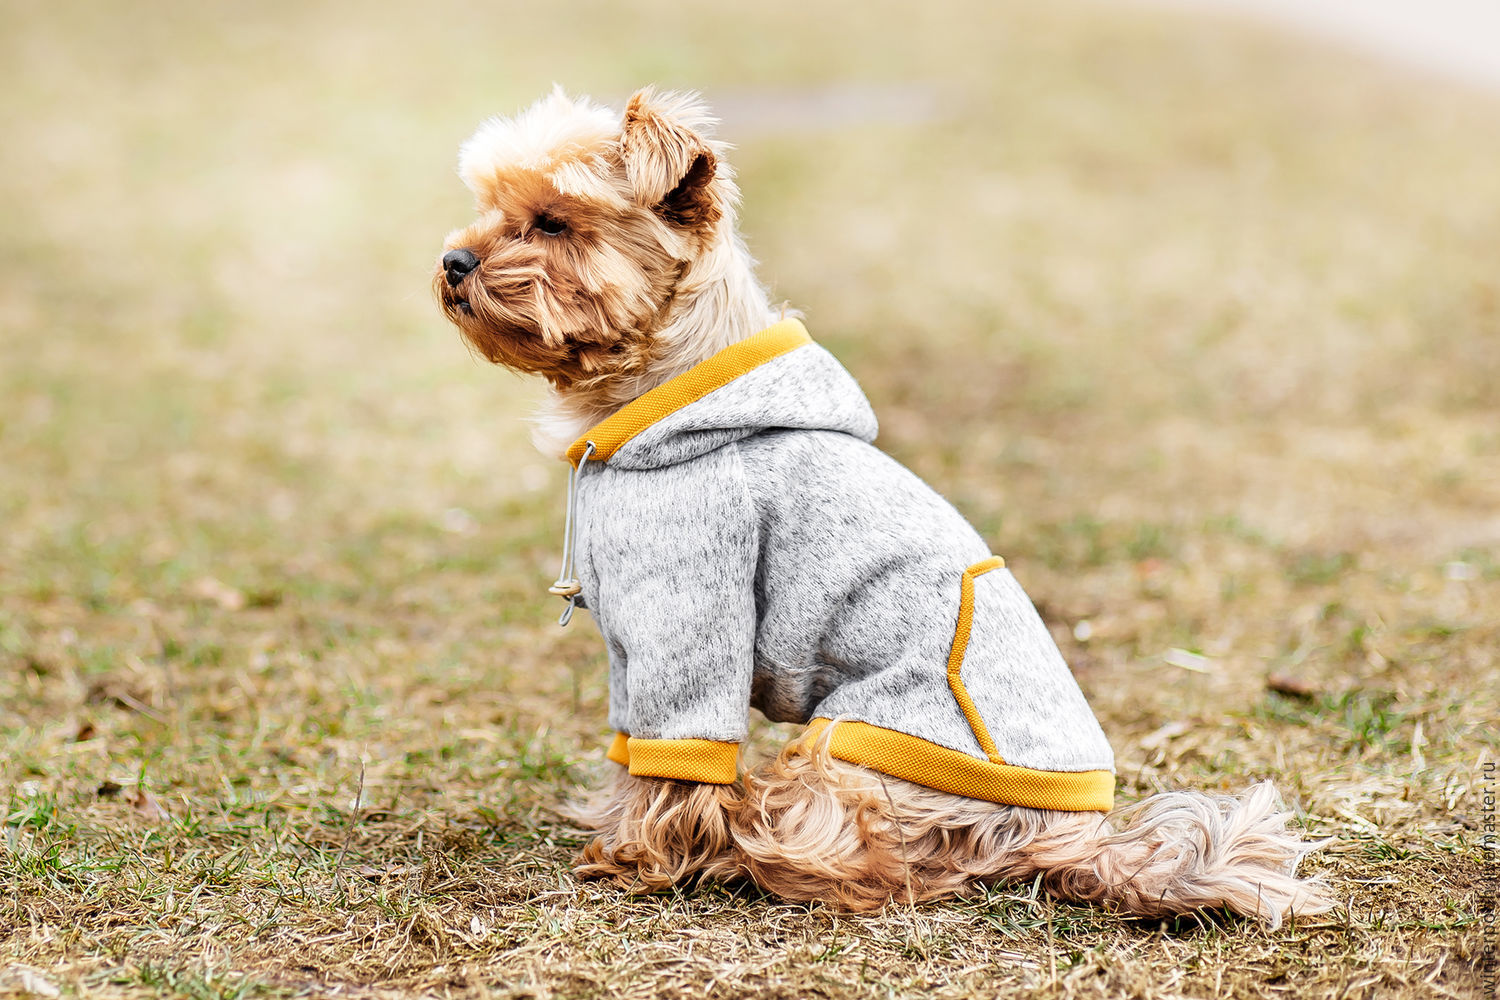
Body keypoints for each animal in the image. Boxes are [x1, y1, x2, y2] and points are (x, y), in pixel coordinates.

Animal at [429, 89, 1332, 929]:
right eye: (490, 206)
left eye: (551, 222)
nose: (453, 259)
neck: (656, 400)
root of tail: (1066, 836)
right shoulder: (633, 648)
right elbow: (632, 754)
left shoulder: (690, 611)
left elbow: (675, 765)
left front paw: (635, 858)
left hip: (848, 750)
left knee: (856, 856)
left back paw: (750, 848)